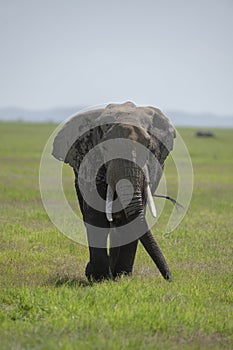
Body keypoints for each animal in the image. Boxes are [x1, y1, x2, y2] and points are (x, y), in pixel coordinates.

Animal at [52, 100, 176, 282]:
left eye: (148, 148)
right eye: (106, 149)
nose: (170, 279)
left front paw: (122, 277)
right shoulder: (91, 162)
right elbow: (96, 215)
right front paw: (100, 278)